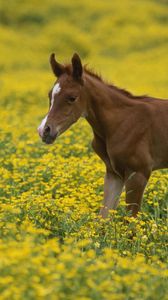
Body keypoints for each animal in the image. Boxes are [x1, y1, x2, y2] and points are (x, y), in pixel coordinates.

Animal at [38, 52, 168, 218]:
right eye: (50, 96)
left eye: (72, 97)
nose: (44, 130)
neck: (122, 121)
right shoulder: (114, 174)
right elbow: (103, 217)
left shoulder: (138, 174)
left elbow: (130, 221)